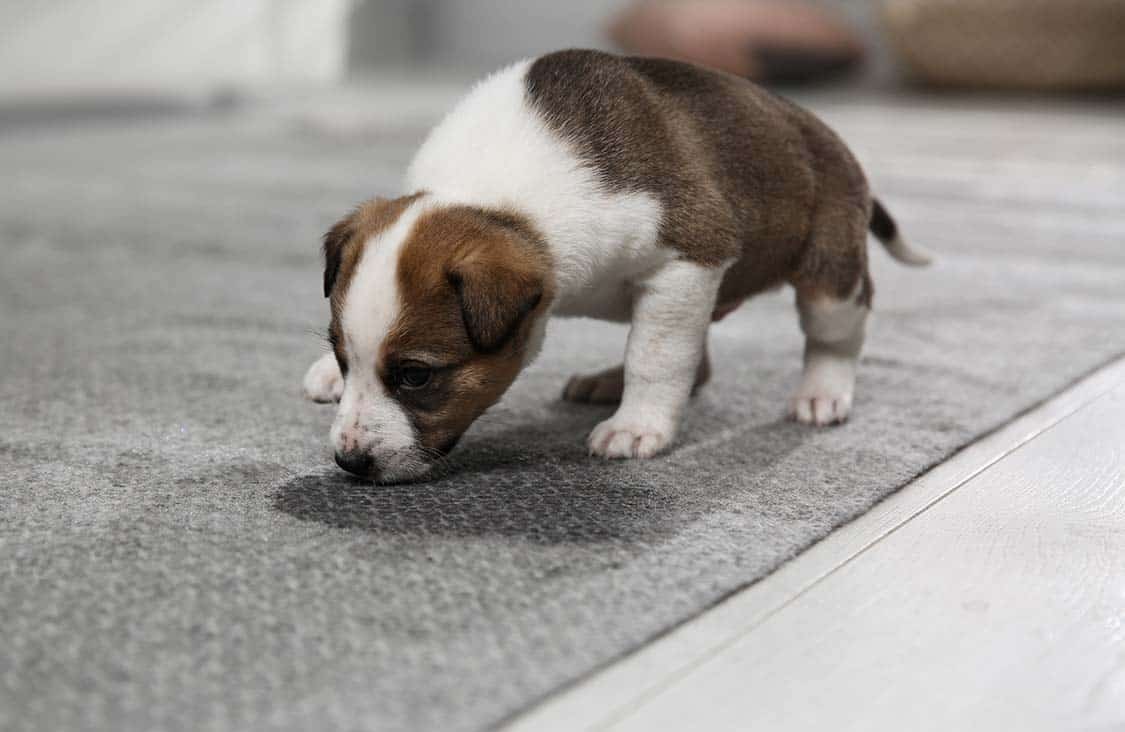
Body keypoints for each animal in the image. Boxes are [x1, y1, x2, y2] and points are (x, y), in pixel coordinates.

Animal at [303, 48, 927, 483]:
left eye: (417, 376)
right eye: (343, 353)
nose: (349, 462)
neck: (492, 198)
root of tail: (829, 137)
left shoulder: (688, 261)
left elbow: (656, 359)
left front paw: (638, 426)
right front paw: (331, 374)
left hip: (829, 276)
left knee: (835, 333)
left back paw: (822, 394)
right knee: (699, 359)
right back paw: (608, 381)